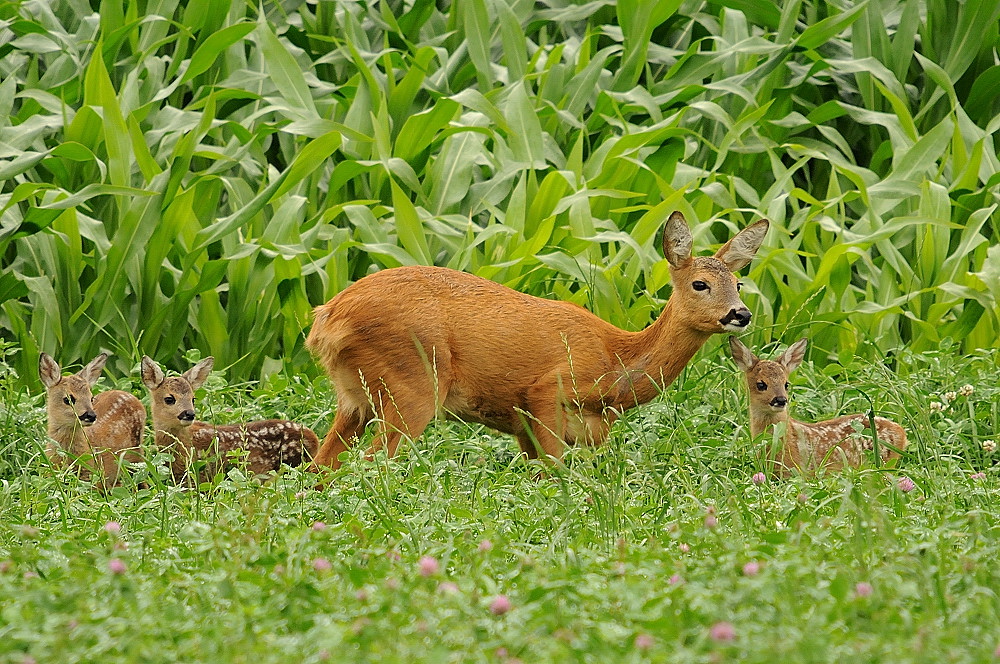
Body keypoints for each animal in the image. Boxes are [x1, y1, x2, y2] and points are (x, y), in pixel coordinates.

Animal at [308, 211, 768, 466]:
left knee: (320, 469)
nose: (740, 314)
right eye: (699, 284)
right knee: (371, 466)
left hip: (354, 397)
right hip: (413, 383)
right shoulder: (545, 395)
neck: (615, 364)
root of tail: (327, 318)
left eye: (739, 283)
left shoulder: (533, 427)